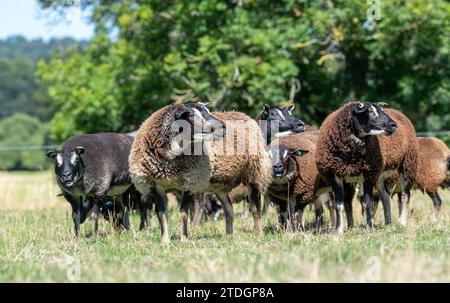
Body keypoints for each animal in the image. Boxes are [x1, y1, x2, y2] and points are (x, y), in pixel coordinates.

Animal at [128, 103, 272, 243]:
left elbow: (183, 213)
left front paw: (184, 239)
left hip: (253, 172)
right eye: (193, 116)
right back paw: (229, 236)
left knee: (255, 208)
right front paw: (164, 241)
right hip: (220, 185)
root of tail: (242, 114)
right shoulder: (156, 185)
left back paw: (259, 234)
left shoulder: (190, 181)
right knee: (229, 210)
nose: (224, 126)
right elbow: (162, 214)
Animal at [314, 102, 400, 235]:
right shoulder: (335, 176)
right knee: (348, 202)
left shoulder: (368, 175)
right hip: (348, 179)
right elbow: (339, 205)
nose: (393, 125)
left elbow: (367, 203)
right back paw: (350, 226)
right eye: (370, 111)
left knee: (385, 197)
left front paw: (370, 228)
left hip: (377, 176)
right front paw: (339, 230)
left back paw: (388, 223)